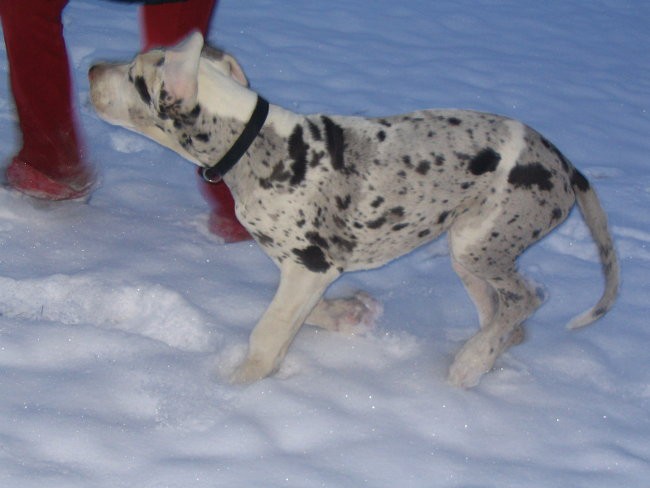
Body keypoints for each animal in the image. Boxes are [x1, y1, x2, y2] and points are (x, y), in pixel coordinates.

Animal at [87, 32, 616, 386]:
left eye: (134, 77)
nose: (91, 70)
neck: (254, 143)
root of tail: (565, 163)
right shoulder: (310, 272)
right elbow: (306, 314)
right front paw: (351, 314)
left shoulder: (310, 266)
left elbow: (267, 332)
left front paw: (237, 387)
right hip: (468, 249)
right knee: (504, 311)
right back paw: (487, 352)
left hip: (483, 244)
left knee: (528, 299)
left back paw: (470, 363)